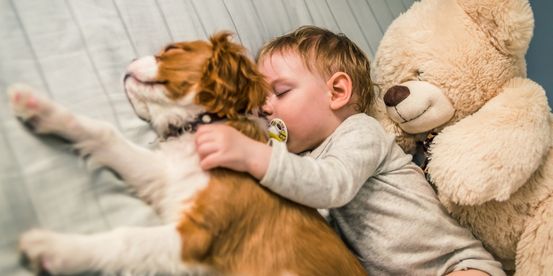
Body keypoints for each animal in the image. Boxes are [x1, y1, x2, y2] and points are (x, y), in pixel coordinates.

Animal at [7, 33, 366, 276]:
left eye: (173, 50)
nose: (130, 59)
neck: (197, 129)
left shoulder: (197, 238)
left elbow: (127, 238)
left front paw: (54, 247)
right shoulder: (166, 178)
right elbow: (105, 134)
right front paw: (38, 107)